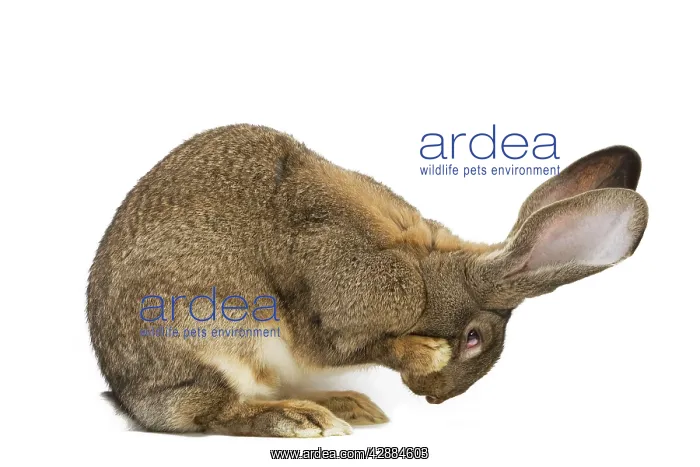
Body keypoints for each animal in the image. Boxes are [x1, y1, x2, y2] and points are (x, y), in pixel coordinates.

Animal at [88, 124, 648, 437]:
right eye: (473, 339)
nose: (436, 398)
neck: (425, 270)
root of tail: (130, 397)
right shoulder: (332, 295)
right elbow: (355, 345)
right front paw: (424, 353)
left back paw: (345, 405)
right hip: (212, 338)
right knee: (211, 412)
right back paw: (301, 421)